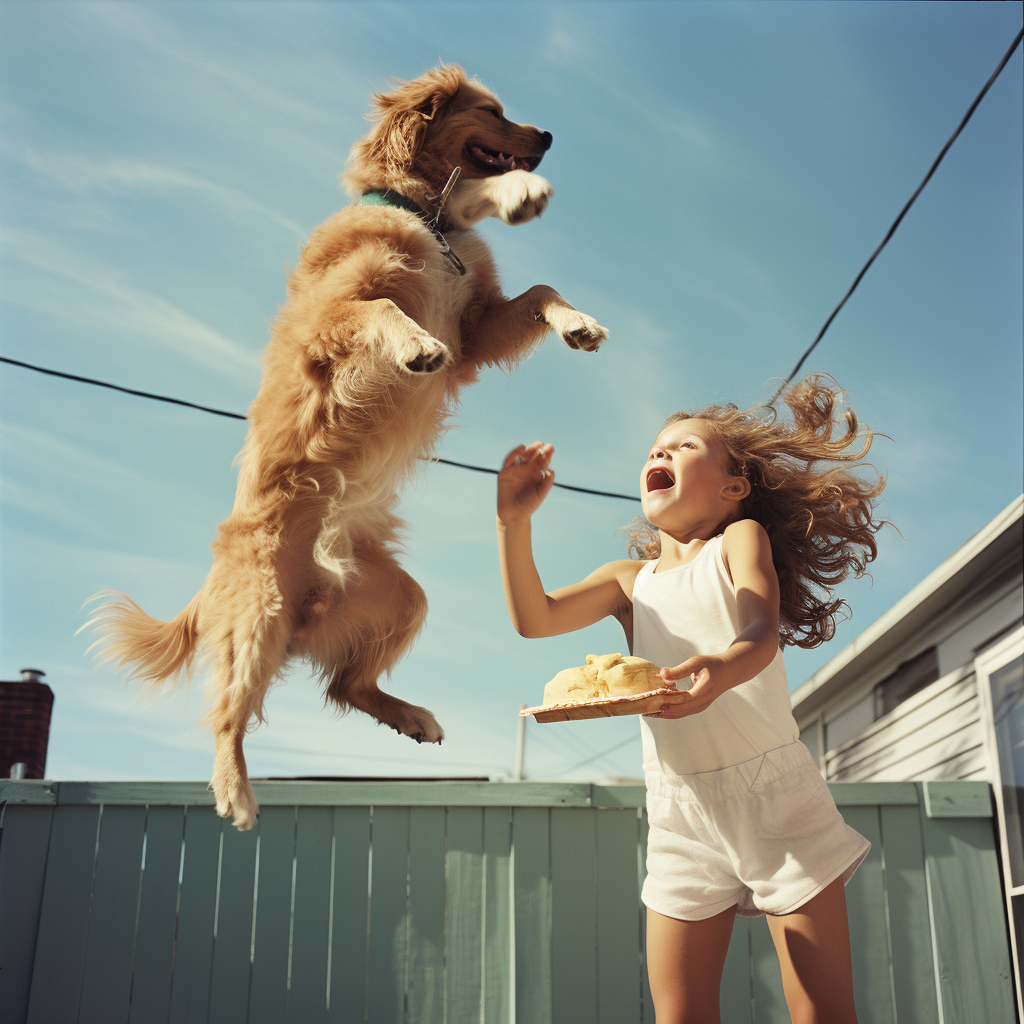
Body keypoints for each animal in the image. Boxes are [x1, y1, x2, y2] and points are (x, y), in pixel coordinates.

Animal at [92, 64, 602, 827]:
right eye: (491, 111)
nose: (545, 136)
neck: (427, 220)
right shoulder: (333, 318)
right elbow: (383, 307)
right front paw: (417, 343)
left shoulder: (477, 331)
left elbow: (540, 287)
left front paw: (576, 321)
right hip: (259, 615)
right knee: (228, 714)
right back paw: (234, 790)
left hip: (402, 600)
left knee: (345, 687)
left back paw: (411, 715)